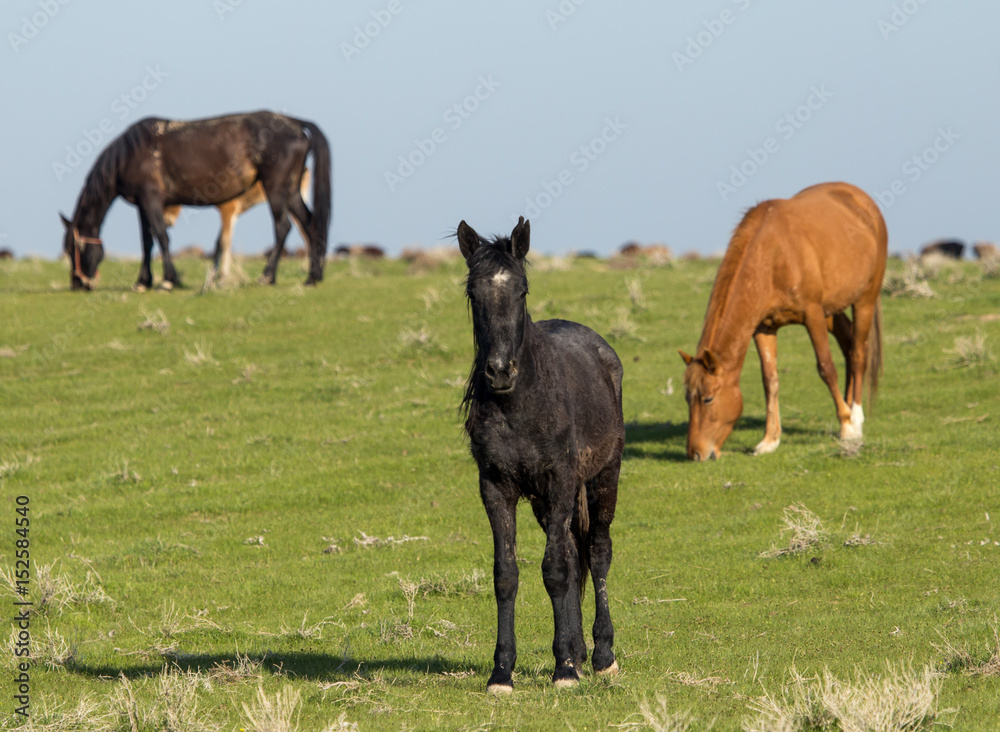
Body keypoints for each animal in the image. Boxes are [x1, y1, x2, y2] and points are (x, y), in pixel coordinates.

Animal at [162, 170, 310, 284]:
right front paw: (213, 276)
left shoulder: (228, 210)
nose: (167, 221)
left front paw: (223, 276)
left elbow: (225, 242)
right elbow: (218, 243)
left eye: (171, 202)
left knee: (304, 231)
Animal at [458, 217, 624, 692]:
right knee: (571, 549)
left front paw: (564, 671)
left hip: (603, 479)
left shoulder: (561, 480)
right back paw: (577, 651)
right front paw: (502, 672)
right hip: (545, 501)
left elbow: (555, 570)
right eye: (473, 293)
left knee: (597, 552)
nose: (499, 371)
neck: (520, 404)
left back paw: (601, 655)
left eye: (522, 291)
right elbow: (507, 574)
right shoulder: (497, 487)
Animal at [684, 181, 888, 460]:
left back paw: (855, 418)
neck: (773, 256)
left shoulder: (812, 315)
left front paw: (847, 426)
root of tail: (863, 201)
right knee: (847, 343)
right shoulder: (764, 328)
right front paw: (769, 440)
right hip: (832, 309)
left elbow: (826, 368)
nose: (694, 453)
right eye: (687, 399)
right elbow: (770, 381)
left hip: (864, 299)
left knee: (858, 353)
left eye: (707, 399)